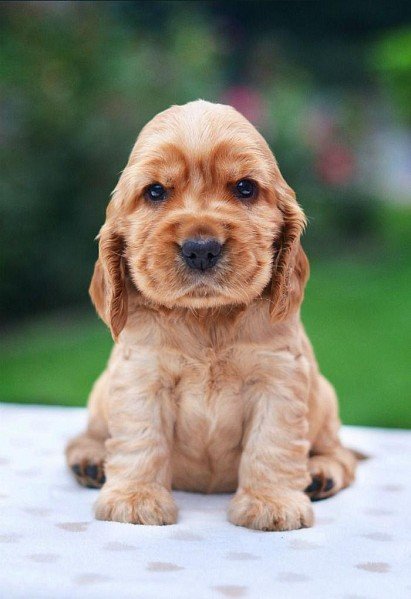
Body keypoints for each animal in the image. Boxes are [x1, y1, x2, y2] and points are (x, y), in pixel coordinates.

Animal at [66, 101, 356, 532]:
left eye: (245, 188)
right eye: (155, 191)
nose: (201, 248)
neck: (207, 319)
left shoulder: (278, 379)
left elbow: (271, 443)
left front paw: (271, 503)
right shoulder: (141, 377)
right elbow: (141, 439)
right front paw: (134, 500)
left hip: (325, 398)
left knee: (342, 453)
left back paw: (321, 473)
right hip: (102, 392)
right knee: (87, 435)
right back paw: (90, 461)